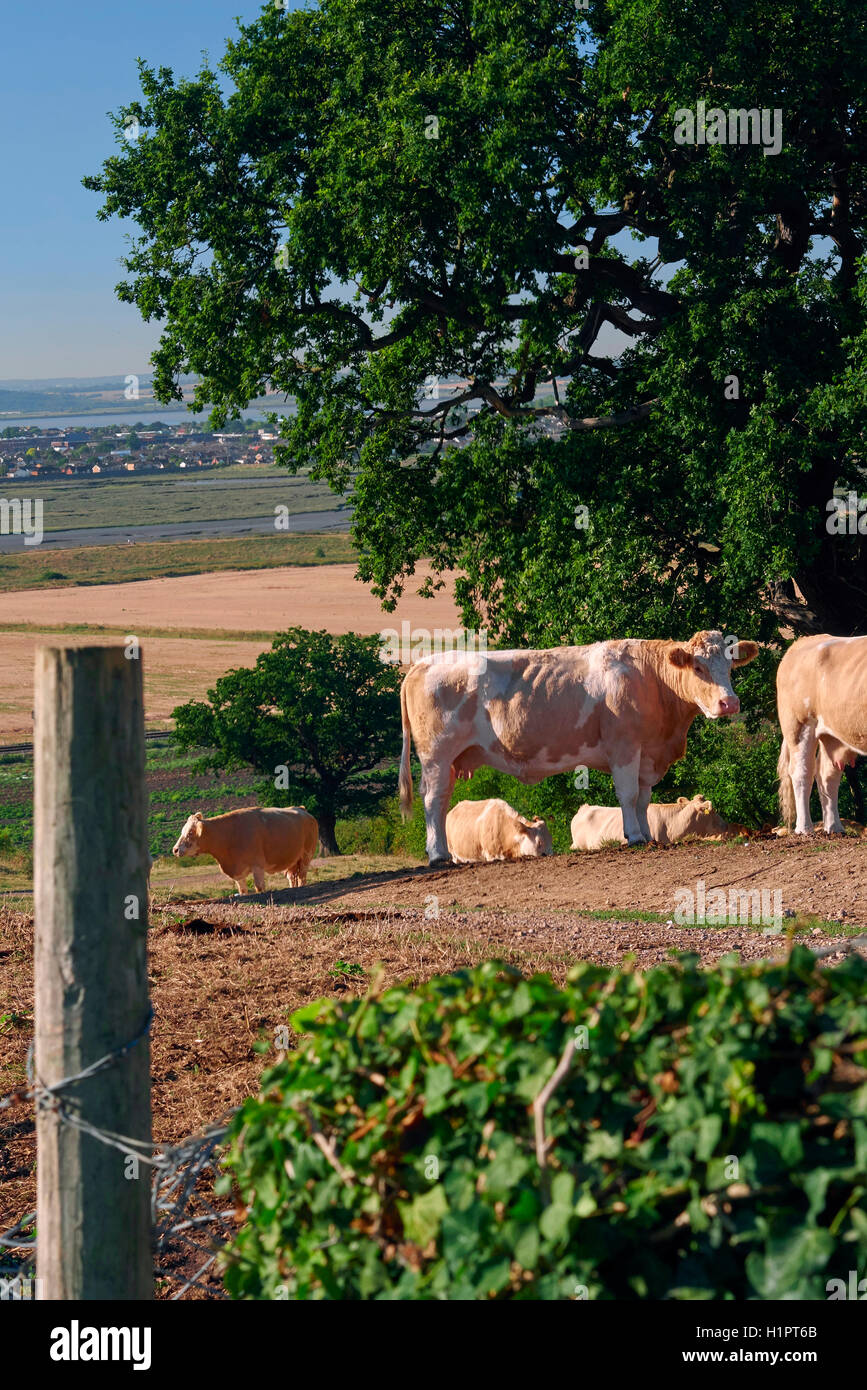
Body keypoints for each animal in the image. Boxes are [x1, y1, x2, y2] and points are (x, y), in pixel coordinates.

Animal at [170, 806, 318, 900]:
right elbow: (242, 891)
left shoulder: (257, 866)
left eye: (190, 832)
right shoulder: (238, 873)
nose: (175, 849)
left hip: (306, 856)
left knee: (302, 877)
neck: (230, 835)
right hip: (292, 861)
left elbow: (259, 888)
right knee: (292, 878)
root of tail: (302, 809)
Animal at [778, 633, 861, 834]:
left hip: (833, 735)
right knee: (802, 772)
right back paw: (804, 828)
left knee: (827, 775)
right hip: (800, 724)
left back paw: (834, 827)